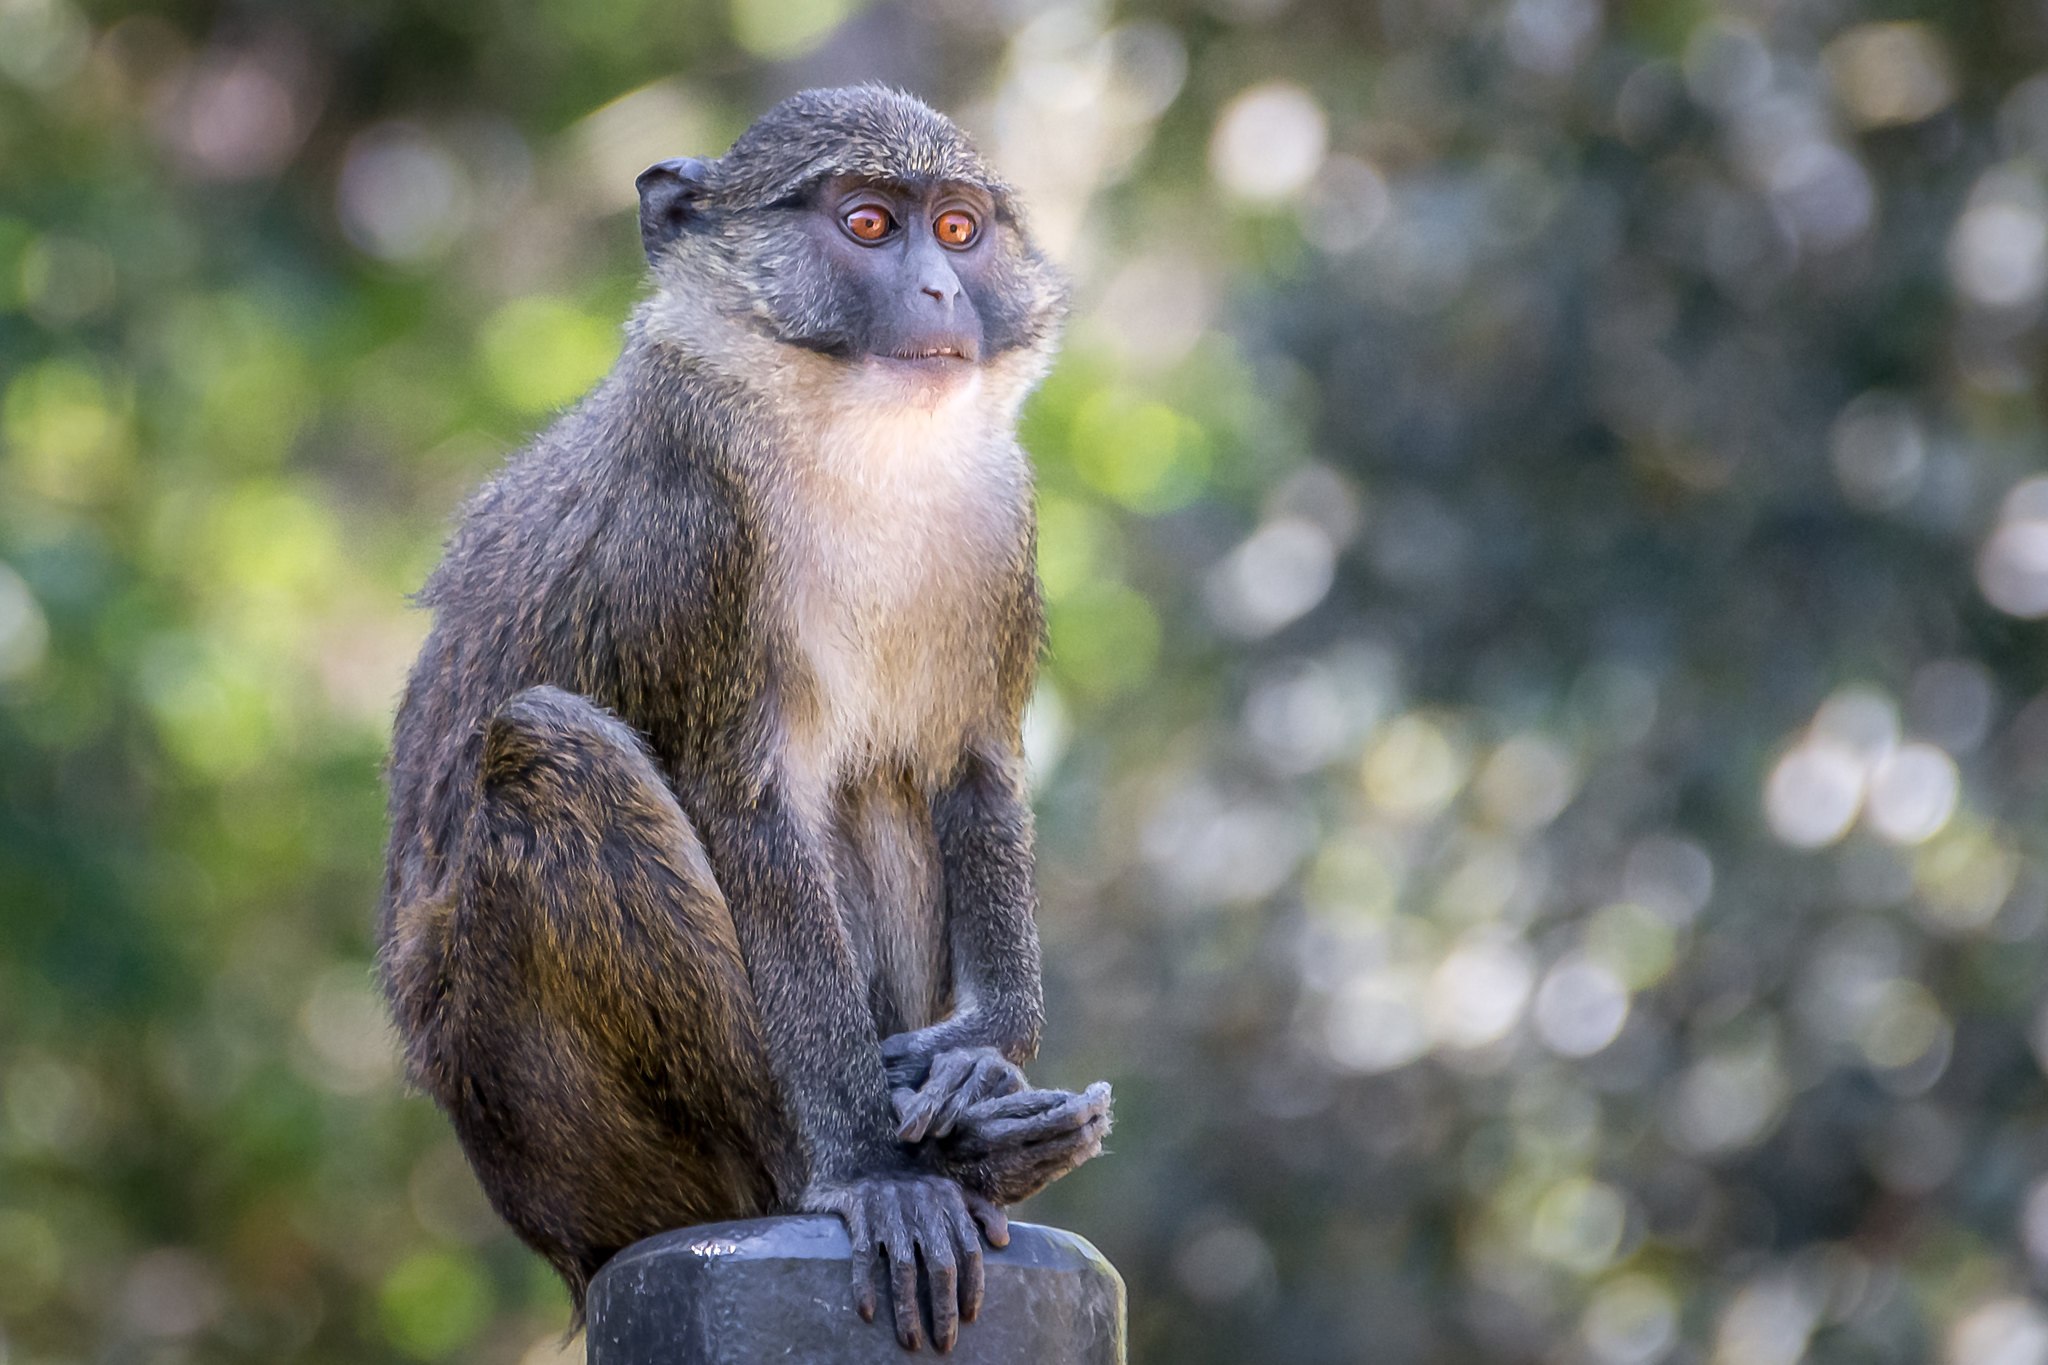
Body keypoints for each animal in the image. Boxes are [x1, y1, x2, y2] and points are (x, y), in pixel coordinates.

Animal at [380, 87, 1122, 1358]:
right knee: (550, 752)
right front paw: (869, 1172)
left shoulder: (1001, 519)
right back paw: (867, 1166)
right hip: (568, 1139)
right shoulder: (697, 531)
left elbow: (971, 770)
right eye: (868, 223)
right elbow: (747, 810)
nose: (940, 292)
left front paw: (982, 1048)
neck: (840, 437)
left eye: (959, 230)